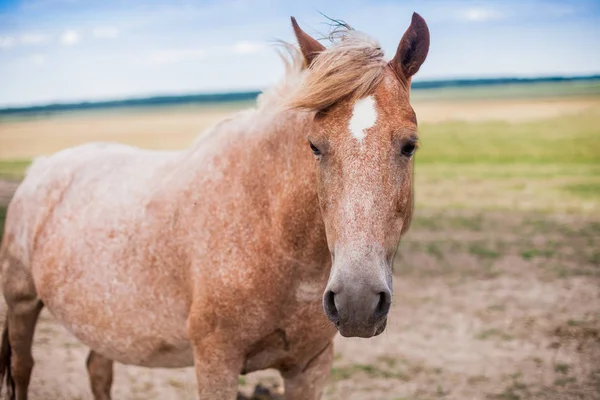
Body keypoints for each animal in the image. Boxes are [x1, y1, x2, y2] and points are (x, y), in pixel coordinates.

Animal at [1, 12, 432, 400]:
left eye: (409, 145)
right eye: (314, 146)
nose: (357, 300)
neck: (269, 231)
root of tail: (40, 168)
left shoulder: (310, 367)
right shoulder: (215, 363)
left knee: (98, 370)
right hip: (21, 304)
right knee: (23, 369)